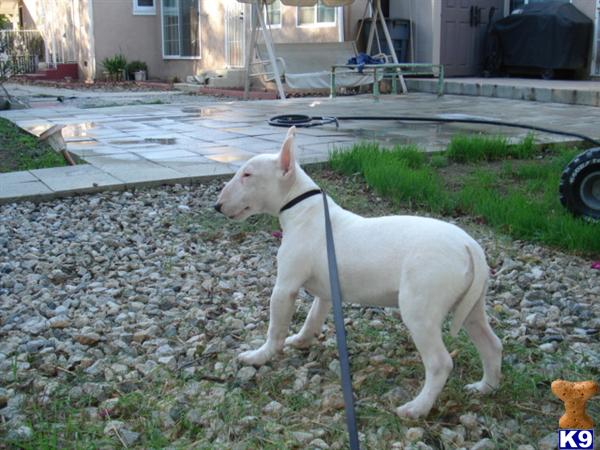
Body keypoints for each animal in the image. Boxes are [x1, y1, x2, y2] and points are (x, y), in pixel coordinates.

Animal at [216, 126, 502, 418]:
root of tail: (469, 246)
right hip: (471, 306)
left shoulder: (285, 287)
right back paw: (485, 388)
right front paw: (301, 340)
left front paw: (259, 356)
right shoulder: (326, 291)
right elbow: (313, 318)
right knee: (491, 344)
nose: (217, 206)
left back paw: (416, 408)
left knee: (440, 362)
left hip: (420, 308)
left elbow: (276, 327)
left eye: (247, 175)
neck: (303, 208)